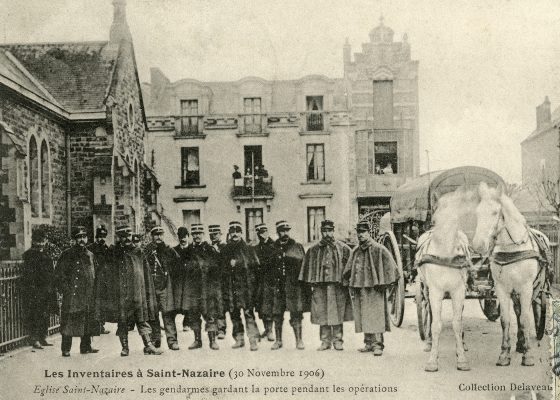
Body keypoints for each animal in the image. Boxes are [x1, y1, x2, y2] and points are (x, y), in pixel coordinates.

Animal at [414, 188, 474, 372]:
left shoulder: (458, 291)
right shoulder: (436, 291)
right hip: (426, 289)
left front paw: (461, 358)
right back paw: (429, 342)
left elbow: (457, 323)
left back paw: (462, 342)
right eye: (436, 209)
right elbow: (436, 324)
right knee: (430, 312)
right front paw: (433, 360)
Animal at [474, 183, 540, 368]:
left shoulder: (526, 289)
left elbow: (525, 319)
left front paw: (528, 355)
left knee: (524, 314)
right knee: (517, 312)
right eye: (477, 212)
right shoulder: (502, 289)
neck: (512, 249)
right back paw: (519, 344)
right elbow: (505, 320)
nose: (477, 245)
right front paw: (504, 354)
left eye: (495, 212)